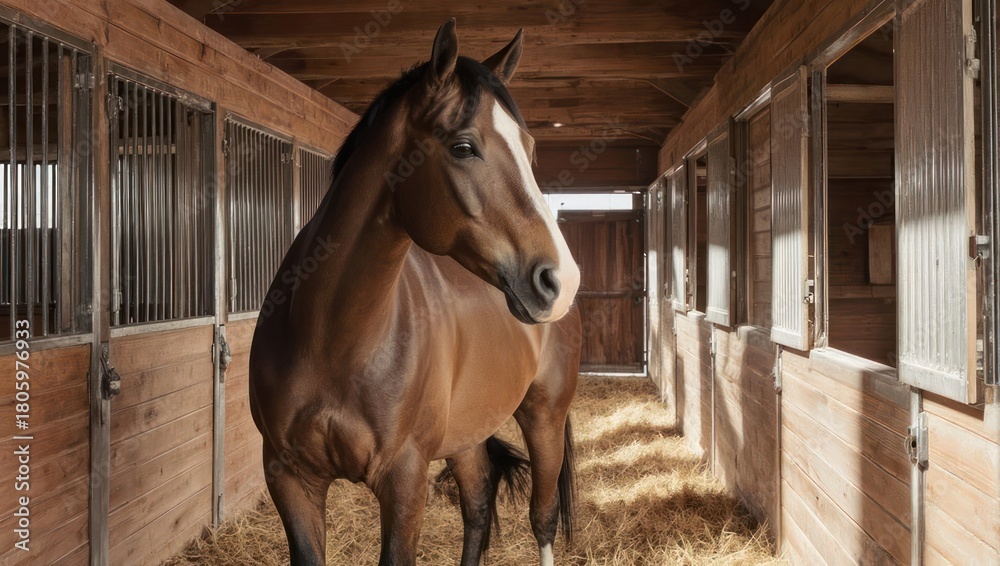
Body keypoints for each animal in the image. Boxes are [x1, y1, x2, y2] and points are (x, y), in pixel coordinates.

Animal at [248, 19, 583, 566]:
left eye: (530, 150)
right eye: (463, 146)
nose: (561, 279)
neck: (335, 339)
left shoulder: (404, 480)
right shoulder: (290, 479)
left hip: (545, 417)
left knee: (543, 518)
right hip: (467, 433)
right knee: (477, 506)